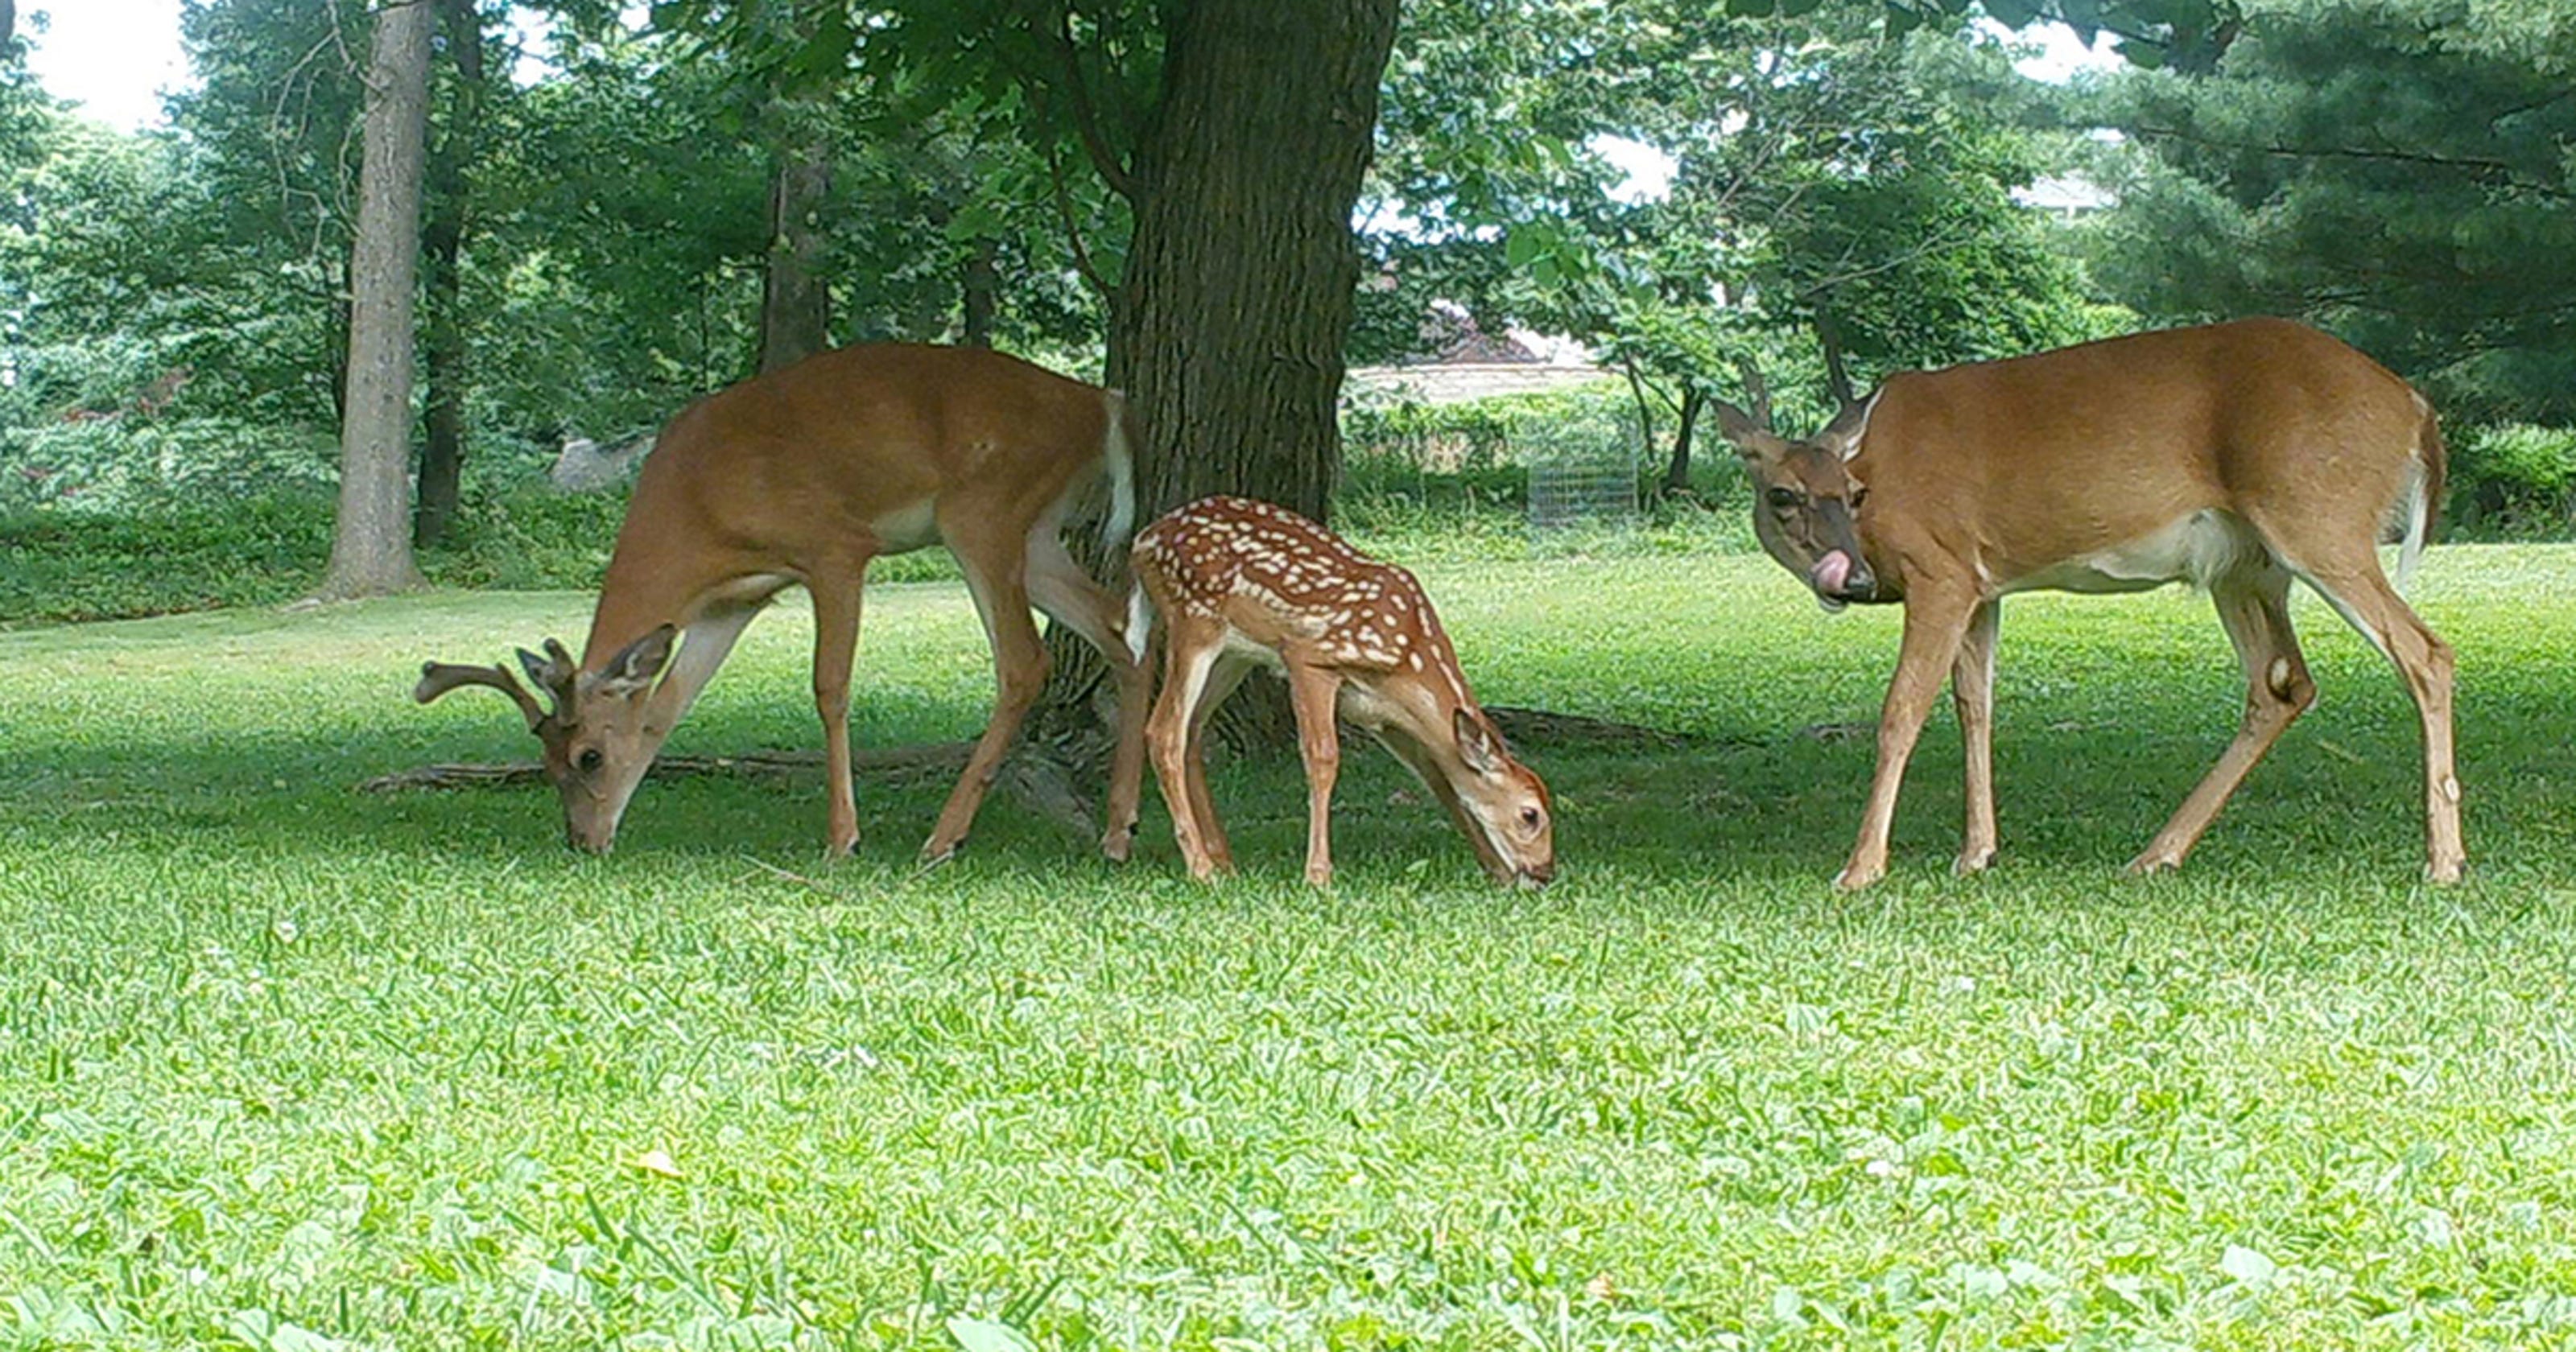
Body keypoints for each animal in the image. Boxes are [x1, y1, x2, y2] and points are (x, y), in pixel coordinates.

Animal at [415, 343, 1152, 862]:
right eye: (545, 761)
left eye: (588, 757)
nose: (583, 841)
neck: (699, 506)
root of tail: (1101, 402)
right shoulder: (729, 606)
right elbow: (667, 708)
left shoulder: (833, 549)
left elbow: (830, 687)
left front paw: (843, 838)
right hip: (1036, 535)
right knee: (1120, 631)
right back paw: (1118, 830)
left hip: (983, 512)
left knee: (1026, 662)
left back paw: (944, 839)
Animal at [1129, 496, 1555, 888]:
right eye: (1530, 814)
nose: (1545, 873)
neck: (1408, 654)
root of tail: (1142, 540)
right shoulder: (1309, 659)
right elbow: (1323, 759)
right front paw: (1318, 875)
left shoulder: (1383, 716)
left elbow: (1439, 781)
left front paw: (1496, 871)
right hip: (1194, 621)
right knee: (1163, 731)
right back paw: (1201, 868)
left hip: (1235, 655)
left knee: (1192, 731)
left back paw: (1225, 862)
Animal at [1711, 317, 2463, 890]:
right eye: (1783, 495)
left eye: (1854, 494)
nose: (1856, 582)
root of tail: (2416, 407)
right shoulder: (1981, 586)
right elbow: (1975, 707)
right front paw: (1977, 852)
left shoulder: (1940, 569)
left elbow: (1902, 711)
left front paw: (1862, 868)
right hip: (2246, 566)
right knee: (2282, 683)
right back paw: (2158, 853)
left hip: (2319, 518)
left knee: (2425, 652)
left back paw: (2444, 862)